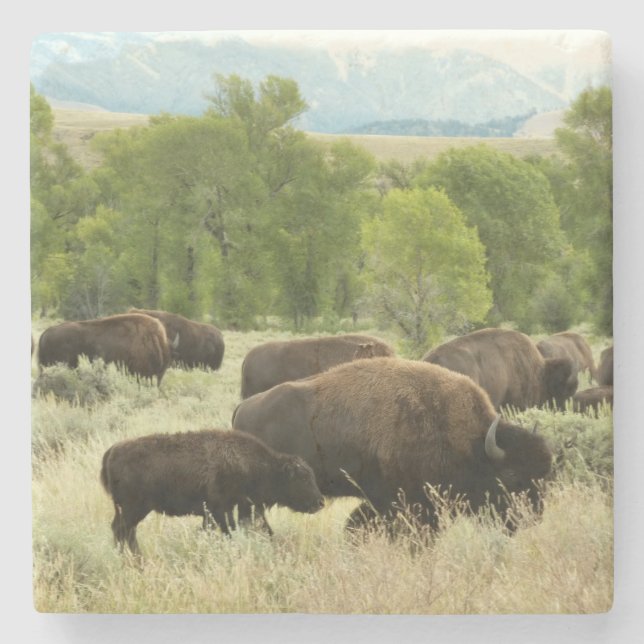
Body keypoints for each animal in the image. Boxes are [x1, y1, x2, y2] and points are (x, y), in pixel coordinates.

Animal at [100, 429, 325, 554]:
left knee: (123, 531)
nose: (320, 502)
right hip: (134, 509)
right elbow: (228, 531)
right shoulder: (221, 510)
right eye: (303, 478)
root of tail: (113, 451)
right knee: (123, 531)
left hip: (128, 511)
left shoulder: (223, 511)